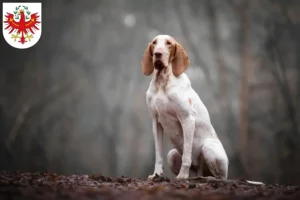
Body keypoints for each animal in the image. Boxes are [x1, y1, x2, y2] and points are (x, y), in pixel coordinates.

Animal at [142, 34, 229, 180]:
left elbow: (187, 155)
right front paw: (156, 174)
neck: (162, 82)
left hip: (208, 148)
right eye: (154, 43)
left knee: (221, 178)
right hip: (172, 155)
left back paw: (207, 178)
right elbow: (158, 154)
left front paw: (182, 176)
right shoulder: (156, 122)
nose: (157, 54)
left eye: (168, 43)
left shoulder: (187, 119)